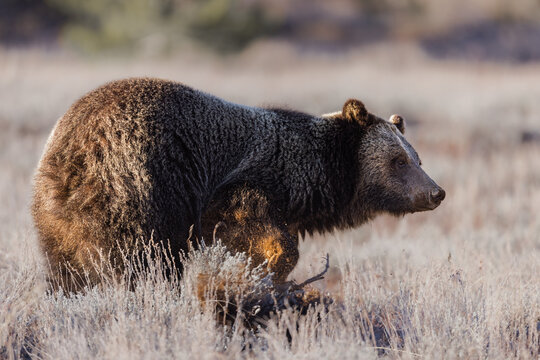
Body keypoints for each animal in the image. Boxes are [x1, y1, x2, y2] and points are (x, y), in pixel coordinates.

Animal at [32, 77, 442, 292]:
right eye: (399, 161)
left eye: (417, 158)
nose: (435, 192)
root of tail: (69, 156)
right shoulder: (243, 185)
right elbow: (255, 227)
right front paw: (269, 272)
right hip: (138, 186)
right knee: (140, 260)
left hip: (56, 220)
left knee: (66, 269)